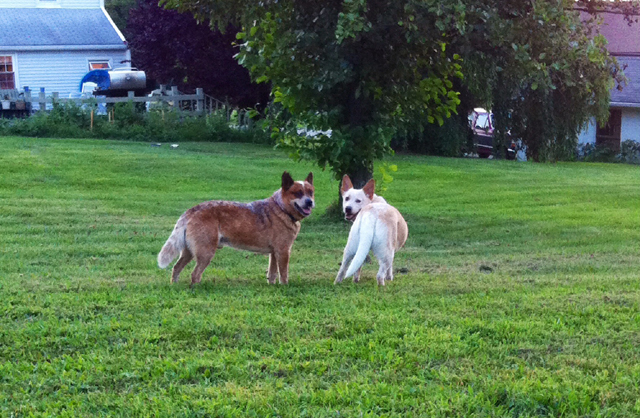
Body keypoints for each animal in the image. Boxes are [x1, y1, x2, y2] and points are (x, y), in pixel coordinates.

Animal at [158, 171, 312, 286]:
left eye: (310, 192)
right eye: (298, 193)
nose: (310, 202)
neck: (281, 208)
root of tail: (191, 211)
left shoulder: (274, 253)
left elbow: (272, 273)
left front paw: (273, 286)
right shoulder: (283, 251)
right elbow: (284, 273)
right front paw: (285, 287)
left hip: (188, 251)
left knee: (176, 268)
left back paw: (174, 285)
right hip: (205, 252)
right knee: (195, 274)